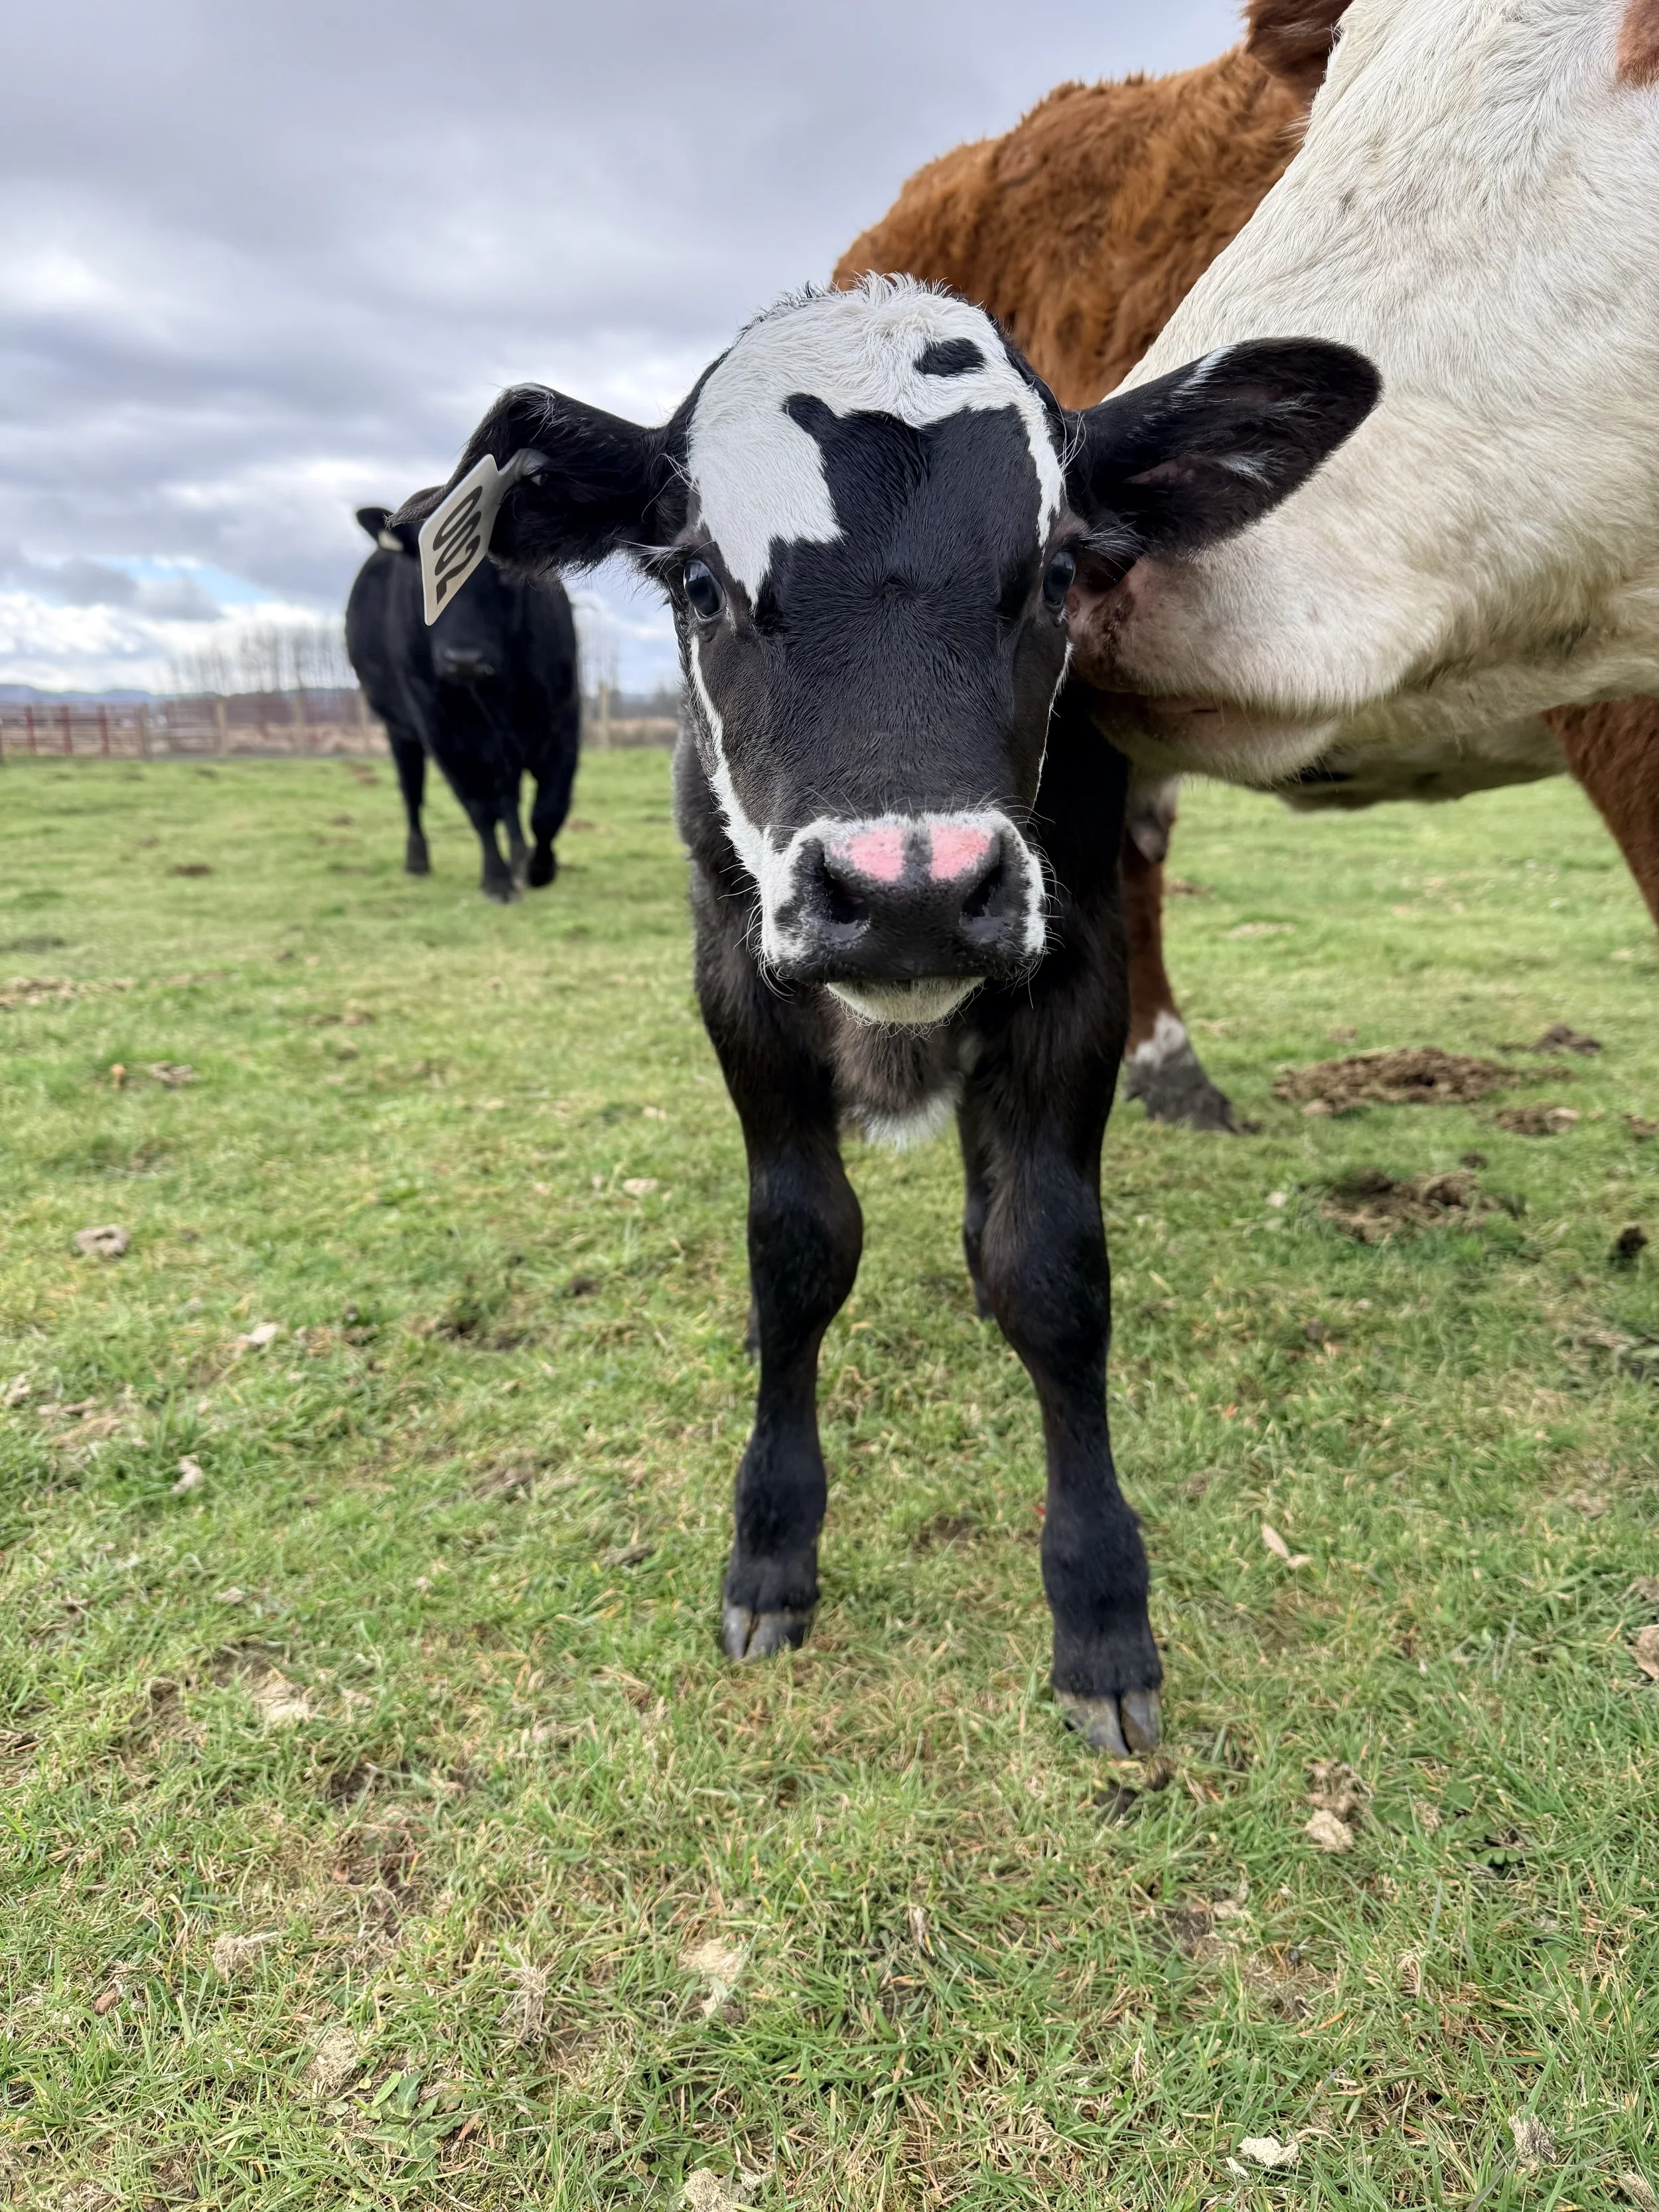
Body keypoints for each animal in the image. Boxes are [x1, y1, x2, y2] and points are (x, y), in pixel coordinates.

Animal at [345, 506, 582, 901]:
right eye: (424, 569)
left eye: (504, 568)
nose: (464, 659)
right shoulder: (443, 732)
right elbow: (479, 806)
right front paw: (497, 881)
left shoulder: (562, 720)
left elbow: (549, 808)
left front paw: (540, 869)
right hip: (400, 730)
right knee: (412, 792)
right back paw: (417, 860)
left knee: (510, 797)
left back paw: (520, 855)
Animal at [395, 280, 1378, 1755]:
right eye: (699, 580)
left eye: (1057, 571)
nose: (907, 893)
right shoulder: (731, 974)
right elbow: (798, 1246)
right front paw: (769, 1548)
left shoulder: (1076, 965)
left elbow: (1050, 1268)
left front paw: (1100, 1608)